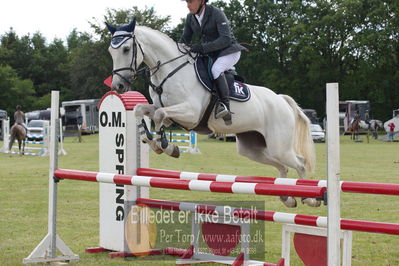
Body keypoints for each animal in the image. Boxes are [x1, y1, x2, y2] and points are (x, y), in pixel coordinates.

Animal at [106, 20, 318, 208]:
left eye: (126, 49)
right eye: (111, 51)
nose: (118, 86)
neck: (168, 71)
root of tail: (281, 100)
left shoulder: (191, 114)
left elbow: (159, 115)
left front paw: (165, 145)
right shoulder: (162, 107)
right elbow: (142, 110)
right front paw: (153, 141)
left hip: (279, 146)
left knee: (300, 163)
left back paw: (308, 198)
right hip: (252, 148)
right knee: (283, 167)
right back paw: (287, 198)